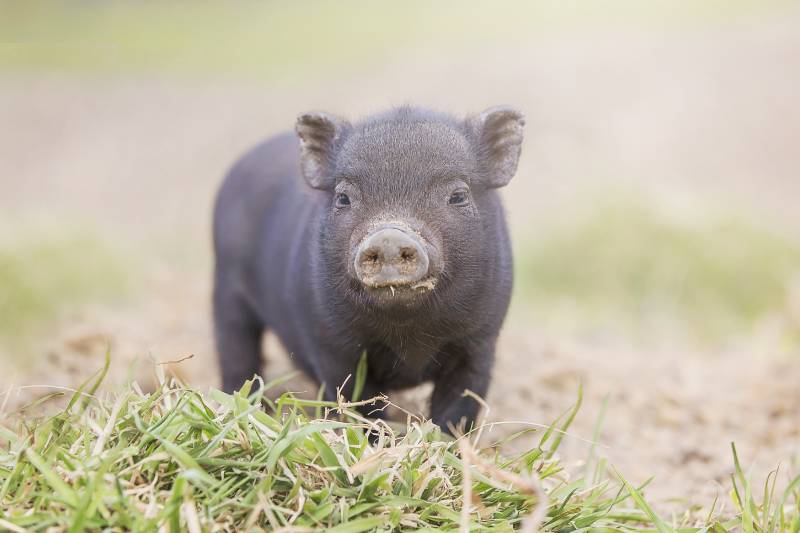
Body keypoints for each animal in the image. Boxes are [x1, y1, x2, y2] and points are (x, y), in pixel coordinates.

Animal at [212, 106, 524, 431]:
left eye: (459, 196)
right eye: (343, 197)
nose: (388, 236)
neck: (407, 336)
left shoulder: (480, 342)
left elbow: (460, 403)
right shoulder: (332, 345)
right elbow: (357, 401)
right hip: (225, 284)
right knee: (235, 350)